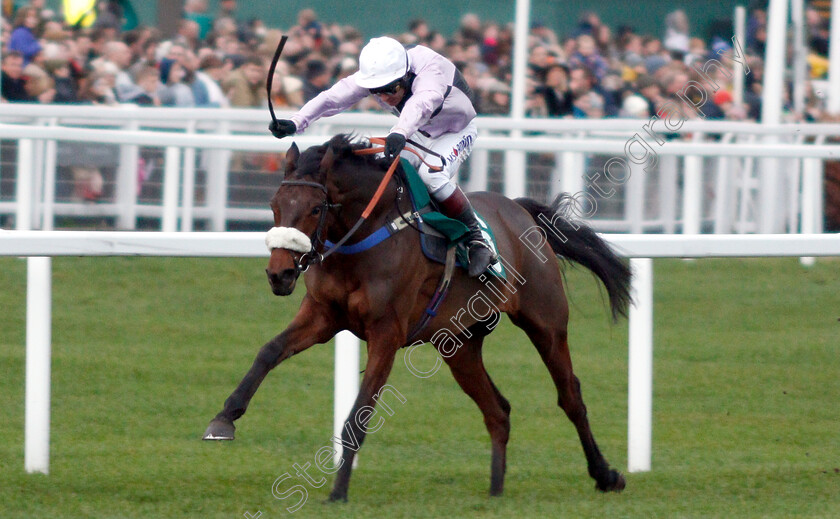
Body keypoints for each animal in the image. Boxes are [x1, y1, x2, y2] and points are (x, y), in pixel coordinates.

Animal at [203, 134, 632, 500]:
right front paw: (224, 419)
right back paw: (496, 490)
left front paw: (338, 492)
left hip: (545, 321)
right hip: (459, 344)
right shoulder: (323, 315)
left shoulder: (386, 333)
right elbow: (269, 351)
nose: (279, 274)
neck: (364, 238)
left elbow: (359, 414)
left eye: (314, 208)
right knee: (498, 410)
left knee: (570, 396)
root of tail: (520, 211)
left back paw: (605, 474)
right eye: (274, 205)